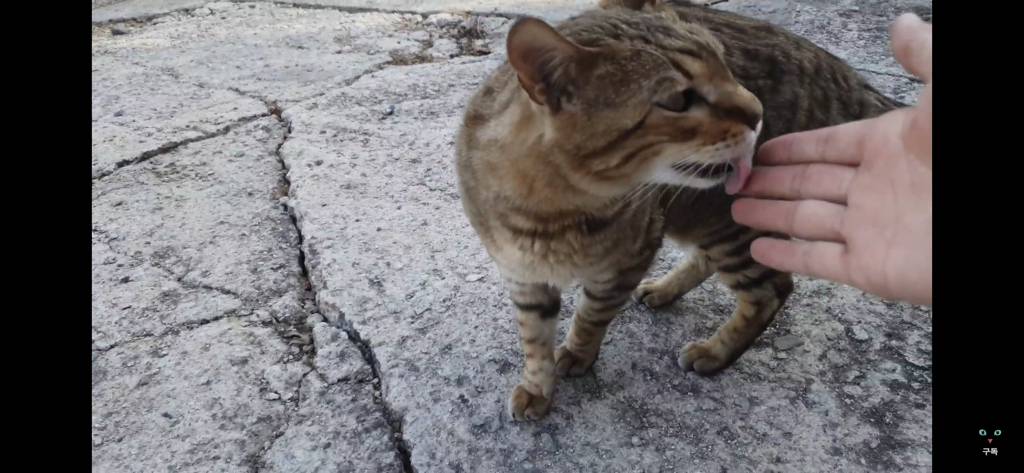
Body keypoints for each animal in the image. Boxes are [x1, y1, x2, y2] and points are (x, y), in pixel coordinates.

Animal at [454, 0, 897, 421]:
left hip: (727, 221)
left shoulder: (626, 262)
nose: (758, 112)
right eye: (680, 100)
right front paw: (537, 388)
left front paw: (578, 354)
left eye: (727, 66)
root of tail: (845, 77)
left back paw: (715, 353)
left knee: (771, 289)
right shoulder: (522, 274)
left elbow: (590, 316)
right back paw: (666, 290)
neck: (551, 210)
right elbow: (534, 339)